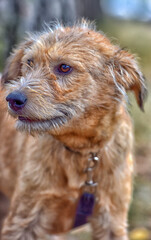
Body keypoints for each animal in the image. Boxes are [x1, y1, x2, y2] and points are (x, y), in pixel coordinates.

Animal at [0, 21, 146, 240]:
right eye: (30, 62)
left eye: (64, 67)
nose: (12, 99)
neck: (82, 152)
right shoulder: (23, 218)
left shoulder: (112, 219)